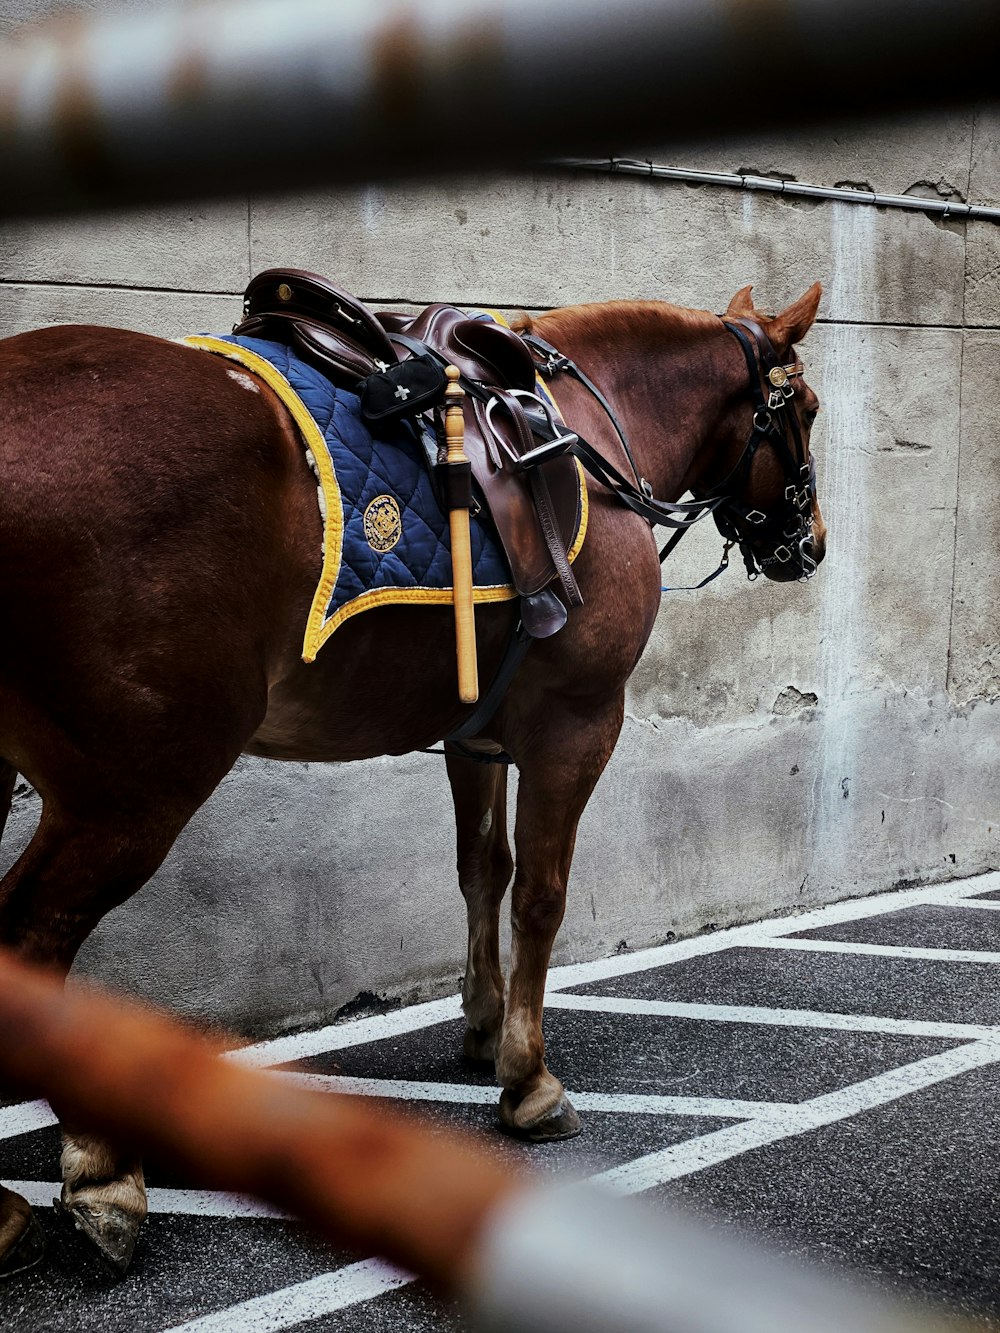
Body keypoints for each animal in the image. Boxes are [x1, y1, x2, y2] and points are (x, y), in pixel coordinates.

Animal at [0, 278, 826, 1269]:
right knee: (33, 938)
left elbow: (482, 870)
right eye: (807, 409)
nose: (811, 543)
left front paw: (482, 1025)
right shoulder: (576, 726)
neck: (589, 434)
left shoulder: (476, 737)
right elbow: (540, 893)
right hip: (132, 793)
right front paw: (528, 1080)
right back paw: (98, 1171)